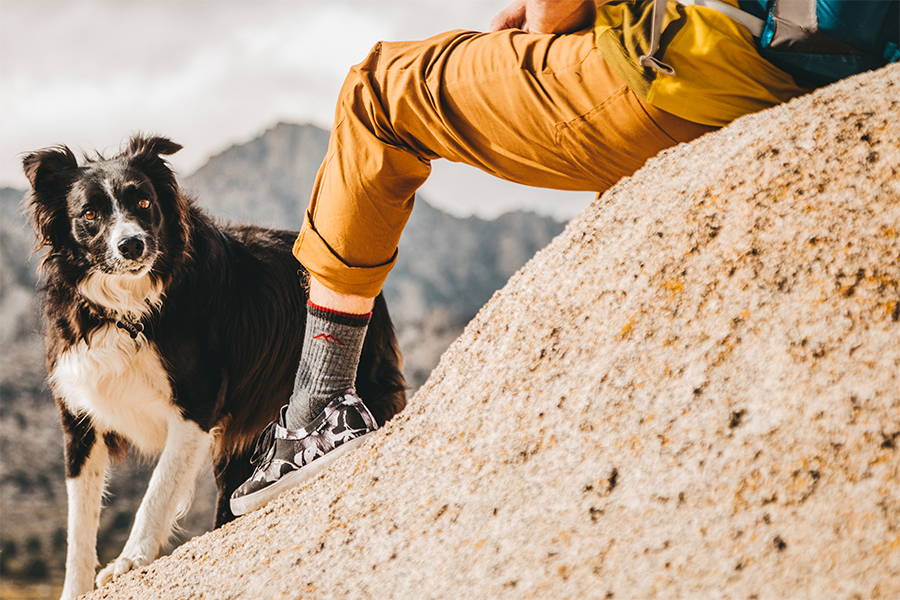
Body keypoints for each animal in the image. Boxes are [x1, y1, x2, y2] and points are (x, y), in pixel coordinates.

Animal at [22, 137, 406, 600]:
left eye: (143, 201)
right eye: (90, 215)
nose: (132, 245)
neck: (127, 307)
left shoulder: (197, 406)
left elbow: (158, 489)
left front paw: (131, 559)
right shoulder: (80, 417)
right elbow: (79, 523)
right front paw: (77, 587)